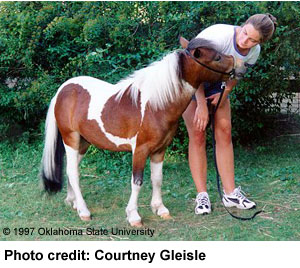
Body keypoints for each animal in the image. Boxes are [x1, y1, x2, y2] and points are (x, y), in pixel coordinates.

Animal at [41, 36, 240, 227]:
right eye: (217, 57)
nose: (239, 65)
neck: (155, 105)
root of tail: (62, 90)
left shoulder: (160, 150)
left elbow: (157, 178)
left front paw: (160, 209)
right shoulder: (140, 150)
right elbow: (137, 182)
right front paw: (134, 216)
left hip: (83, 142)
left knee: (70, 169)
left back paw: (73, 202)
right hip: (71, 140)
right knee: (73, 172)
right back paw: (84, 211)